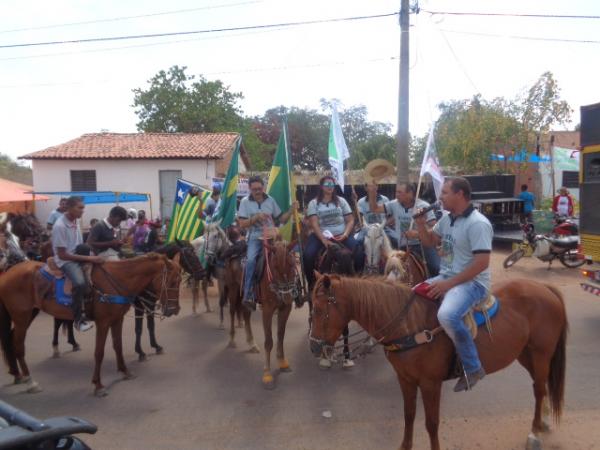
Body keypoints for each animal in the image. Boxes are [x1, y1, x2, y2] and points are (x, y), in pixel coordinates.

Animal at [0, 253, 183, 398]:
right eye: (173, 281)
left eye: (180, 280)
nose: (175, 310)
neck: (117, 280)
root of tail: (7, 273)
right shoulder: (103, 322)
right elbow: (99, 353)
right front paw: (98, 385)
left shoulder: (117, 319)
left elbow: (118, 346)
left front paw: (125, 371)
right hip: (21, 316)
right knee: (18, 345)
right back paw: (30, 382)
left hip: (30, 313)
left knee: (10, 339)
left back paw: (17, 374)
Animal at [258, 239, 298, 390]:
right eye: (274, 267)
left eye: (292, 263)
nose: (287, 296)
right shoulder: (267, 310)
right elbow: (269, 341)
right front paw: (267, 374)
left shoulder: (285, 308)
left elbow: (281, 334)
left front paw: (282, 362)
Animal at [310, 274, 568, 450]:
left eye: (320, 309)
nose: (314, 346)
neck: (409, 325)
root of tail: (544, 288)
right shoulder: (405, 379)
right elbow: (409, 414)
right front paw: (405, 446)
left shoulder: (430, 383)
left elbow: (431, 423)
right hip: (525, 354)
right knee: (541, 386)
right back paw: (543, 421)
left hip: (541, 353)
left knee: (538, 390)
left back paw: (534, 432)